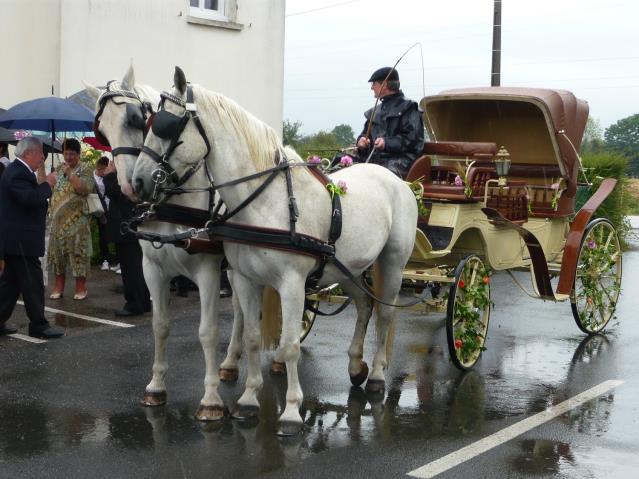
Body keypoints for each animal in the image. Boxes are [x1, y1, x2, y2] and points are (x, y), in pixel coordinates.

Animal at [82, 66, 245, 420]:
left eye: (134, 119)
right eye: (102, 132)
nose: (132, 184)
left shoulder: (207, 271)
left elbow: (207, 331)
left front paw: (211, 399)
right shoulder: (152, 268)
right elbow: (159, 325)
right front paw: (156, 387)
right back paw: (231, 363)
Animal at [132, 65, 418, 436]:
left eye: (167, 125)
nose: (137, 182)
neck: (265, 200)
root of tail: (395, 179)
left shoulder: (292, 284)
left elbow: (290, 344)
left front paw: (292, 412)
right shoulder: (243, 279)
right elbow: (253, 336)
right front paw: (248, 399)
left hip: (393, 262)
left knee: (384, 314)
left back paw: (378, 375)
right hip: (348, 269)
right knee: (364, 305)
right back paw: (356, 366)